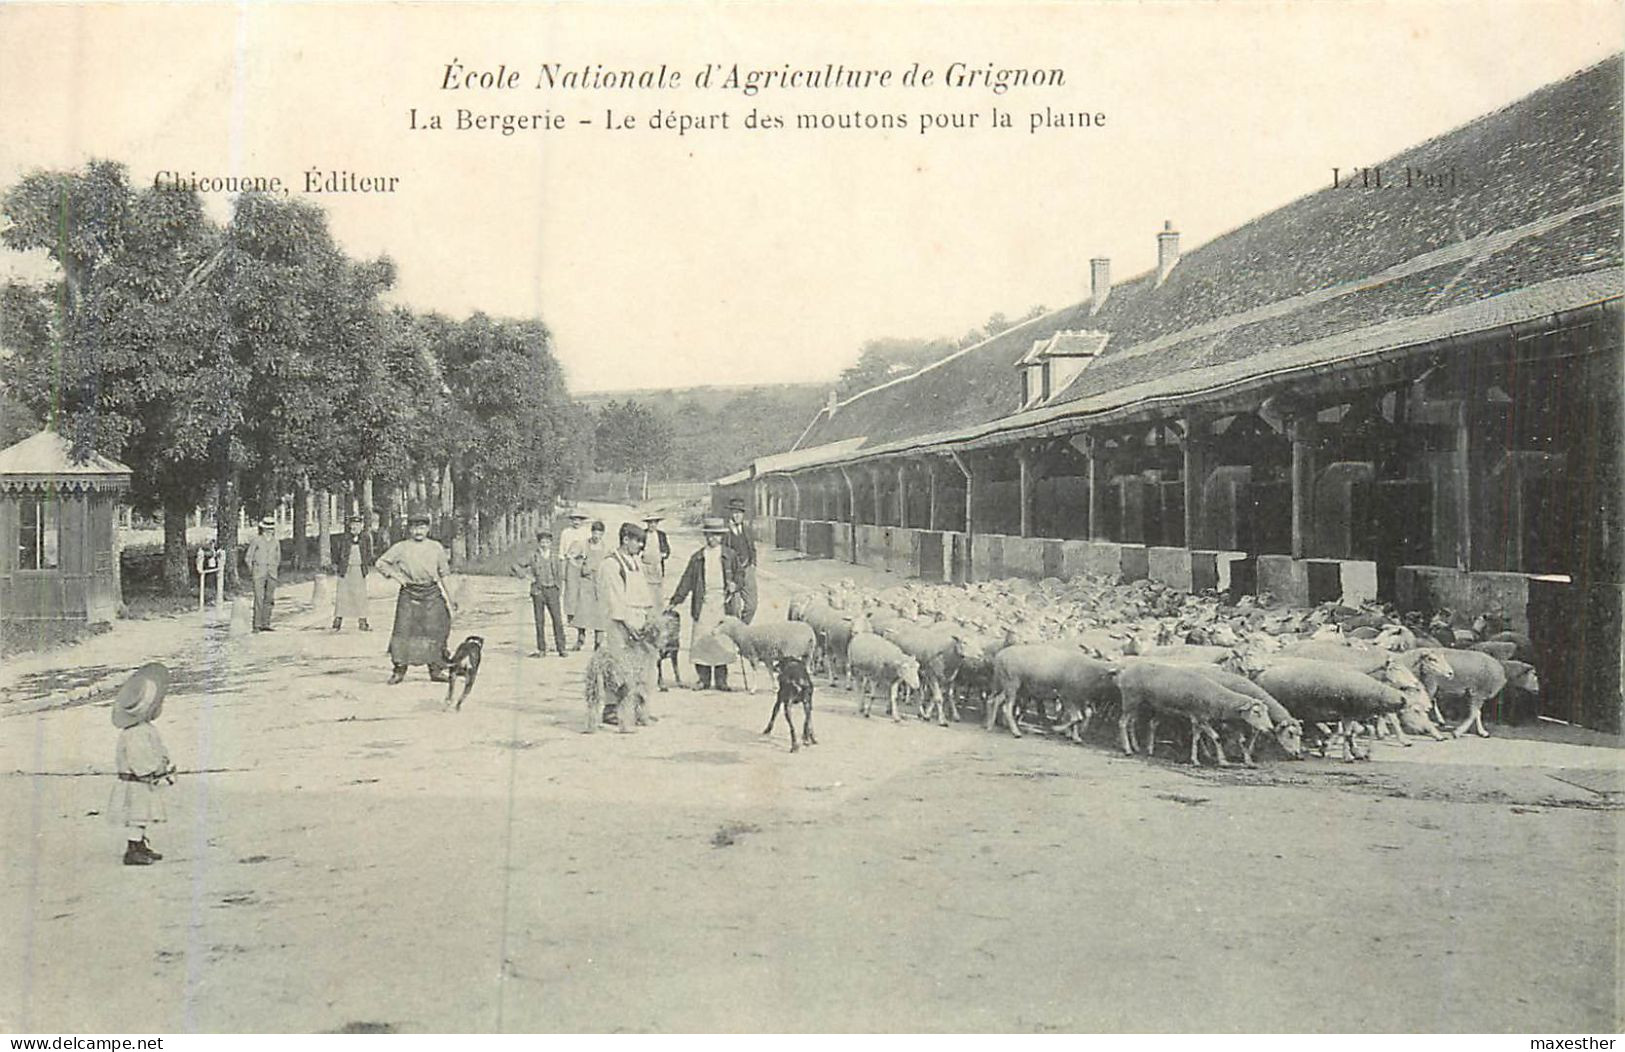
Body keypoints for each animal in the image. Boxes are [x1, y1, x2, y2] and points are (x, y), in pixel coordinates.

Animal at [1124, 666, 1274, 764]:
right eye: (1256, 712)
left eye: (1266, 711)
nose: (1270, 728)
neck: (1215, 697)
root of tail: (1124, 673)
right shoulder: (1201, 718)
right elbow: (1216, 737)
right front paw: (1222, 761)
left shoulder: (1197, 719)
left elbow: (1196, 737)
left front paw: (1195, 759)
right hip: (1131, 699)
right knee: (1123, 722)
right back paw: (1128, 749)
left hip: (1153, 706)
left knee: (1145, 723)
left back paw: (1145, 749)